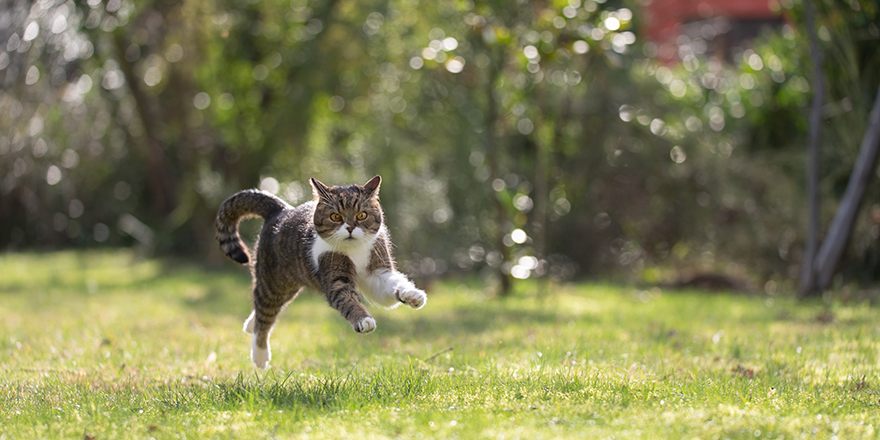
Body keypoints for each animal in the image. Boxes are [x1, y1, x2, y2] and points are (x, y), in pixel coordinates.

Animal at [218, 175, 428, 368]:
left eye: (362, 215)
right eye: (335, 216)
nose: (350, 228)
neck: (355, 251)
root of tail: (282, 209)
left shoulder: (376, 273)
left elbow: (392, 286)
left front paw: (412, 295)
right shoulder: (334, 276)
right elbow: (346, 298)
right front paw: (364, 319)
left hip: (288, 287)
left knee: (265, 308)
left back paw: (249, 325)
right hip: (273, 282)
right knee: (265, 312)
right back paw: (260, 355)